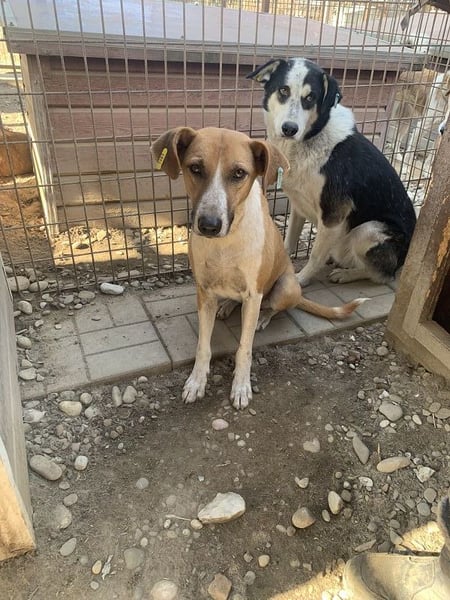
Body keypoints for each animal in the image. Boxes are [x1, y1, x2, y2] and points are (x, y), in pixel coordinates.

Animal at [151, 127, 366, 409]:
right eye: (195, 168)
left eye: (239, 173)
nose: (209, 225)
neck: (225, 243)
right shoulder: (204, 293)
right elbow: (203, 346)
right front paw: (197, 381)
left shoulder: (254, 294)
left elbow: (244, 348)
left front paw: (241, 386)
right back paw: (227, 306)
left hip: (286, 287)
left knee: (273, 306)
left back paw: (262, 318)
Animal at [247, 58, 417, 287]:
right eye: (283, 90)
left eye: (310, 98)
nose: (289, 129)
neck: (311, 138)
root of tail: (404, 259)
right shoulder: (298, 206)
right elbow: (288, 241)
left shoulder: (333, 217)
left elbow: (315, 255)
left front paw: (301, 279)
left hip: (367, 231)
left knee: (381, 275)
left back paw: (346, 274)